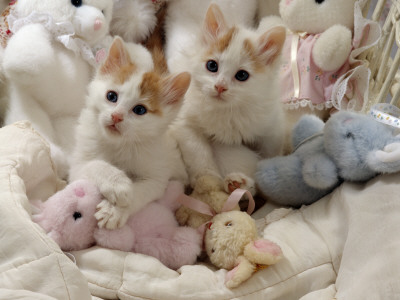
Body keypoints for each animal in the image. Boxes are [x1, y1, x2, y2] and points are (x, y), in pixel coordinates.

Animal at [70, 37, 191, 230]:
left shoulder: (157, 175)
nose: (116, 116)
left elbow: (141, 191)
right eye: (111, 96)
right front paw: (117, 183)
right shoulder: (77, 166)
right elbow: (94, 164)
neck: (120, 144)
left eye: (140, 110)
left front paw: (115, 210)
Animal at [170, 4, 286, 195]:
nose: (220, 87)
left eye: (242, 75)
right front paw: (208, 180)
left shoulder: (271, 126)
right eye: (212, 66)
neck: (226, 111)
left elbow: (270, 154)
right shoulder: (185, 123)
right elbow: (200, 155)